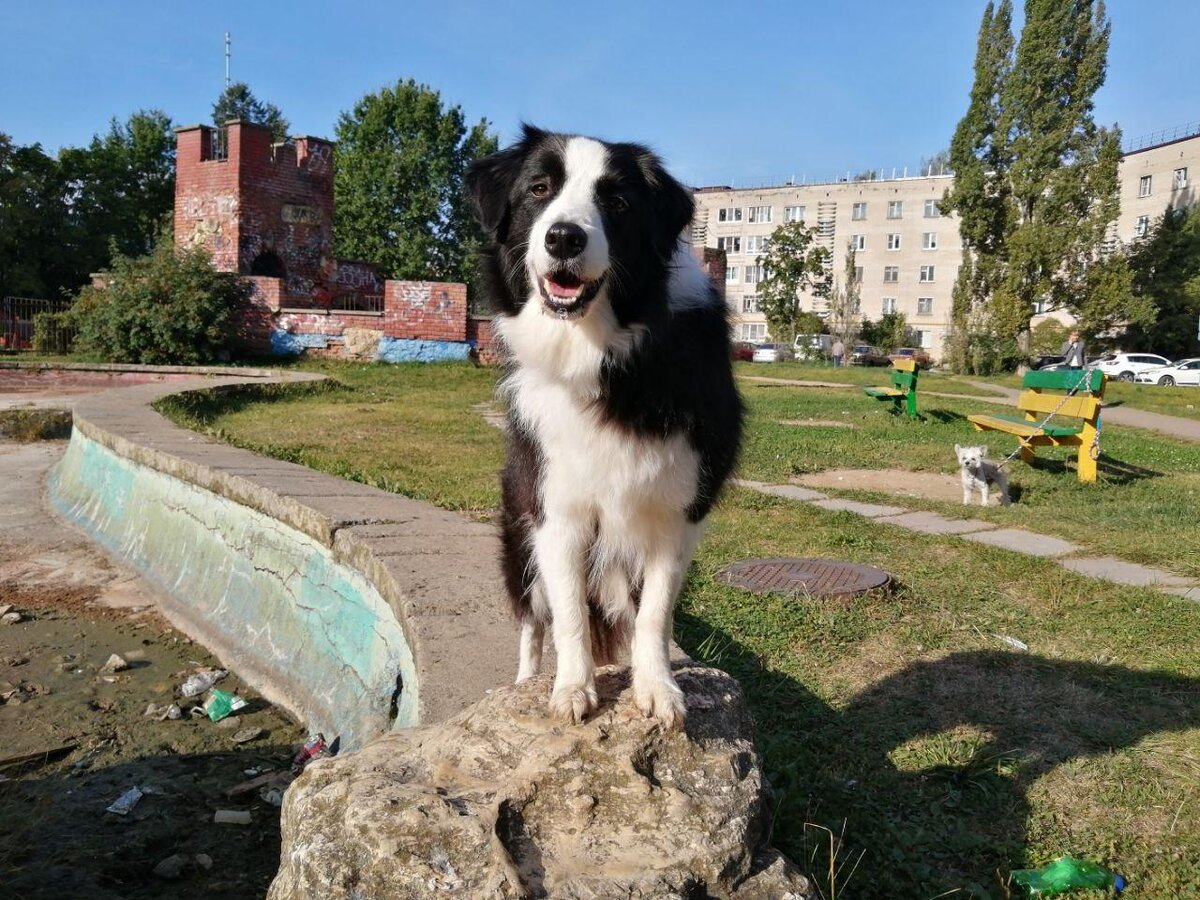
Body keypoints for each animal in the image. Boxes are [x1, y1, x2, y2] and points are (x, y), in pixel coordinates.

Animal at [465, 127, 739, 729]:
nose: (564, 238)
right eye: (539, 189)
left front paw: (657, 689)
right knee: (533, 620)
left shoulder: (679, 508)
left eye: (616, 203)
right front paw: (572, 690)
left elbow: (655, 613)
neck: (602, 353)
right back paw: (524, 681)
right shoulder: (554, 507)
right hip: (518, 531)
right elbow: (568, 613)